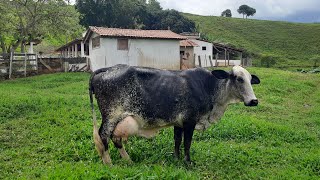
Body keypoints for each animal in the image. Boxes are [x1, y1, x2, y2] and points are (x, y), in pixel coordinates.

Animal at [89, 64, 260, 165]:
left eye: (250, 79)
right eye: (239, 79)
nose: (254, 101)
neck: (209, 86)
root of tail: (108, 69)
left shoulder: (178, 123)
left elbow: (177, 141)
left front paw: (176, 159)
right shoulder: (190, 121)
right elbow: (187, 143)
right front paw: (188, 162)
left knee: (115, 139)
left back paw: (128, 161)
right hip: (111, 117)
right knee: (103, 136)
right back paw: (109, 164)